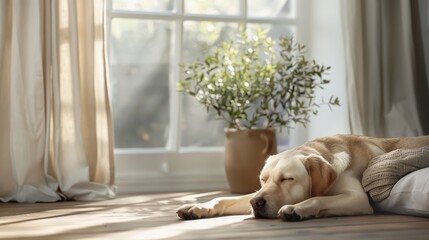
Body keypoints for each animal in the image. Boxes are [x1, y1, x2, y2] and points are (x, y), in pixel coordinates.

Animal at [175, 134, 428, 220]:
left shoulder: (356, 198)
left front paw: (296, 208)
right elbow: (223, 199)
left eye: (287, 179)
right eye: (263, 179)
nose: (256, 203)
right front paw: (197, 207)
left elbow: (318, 198)